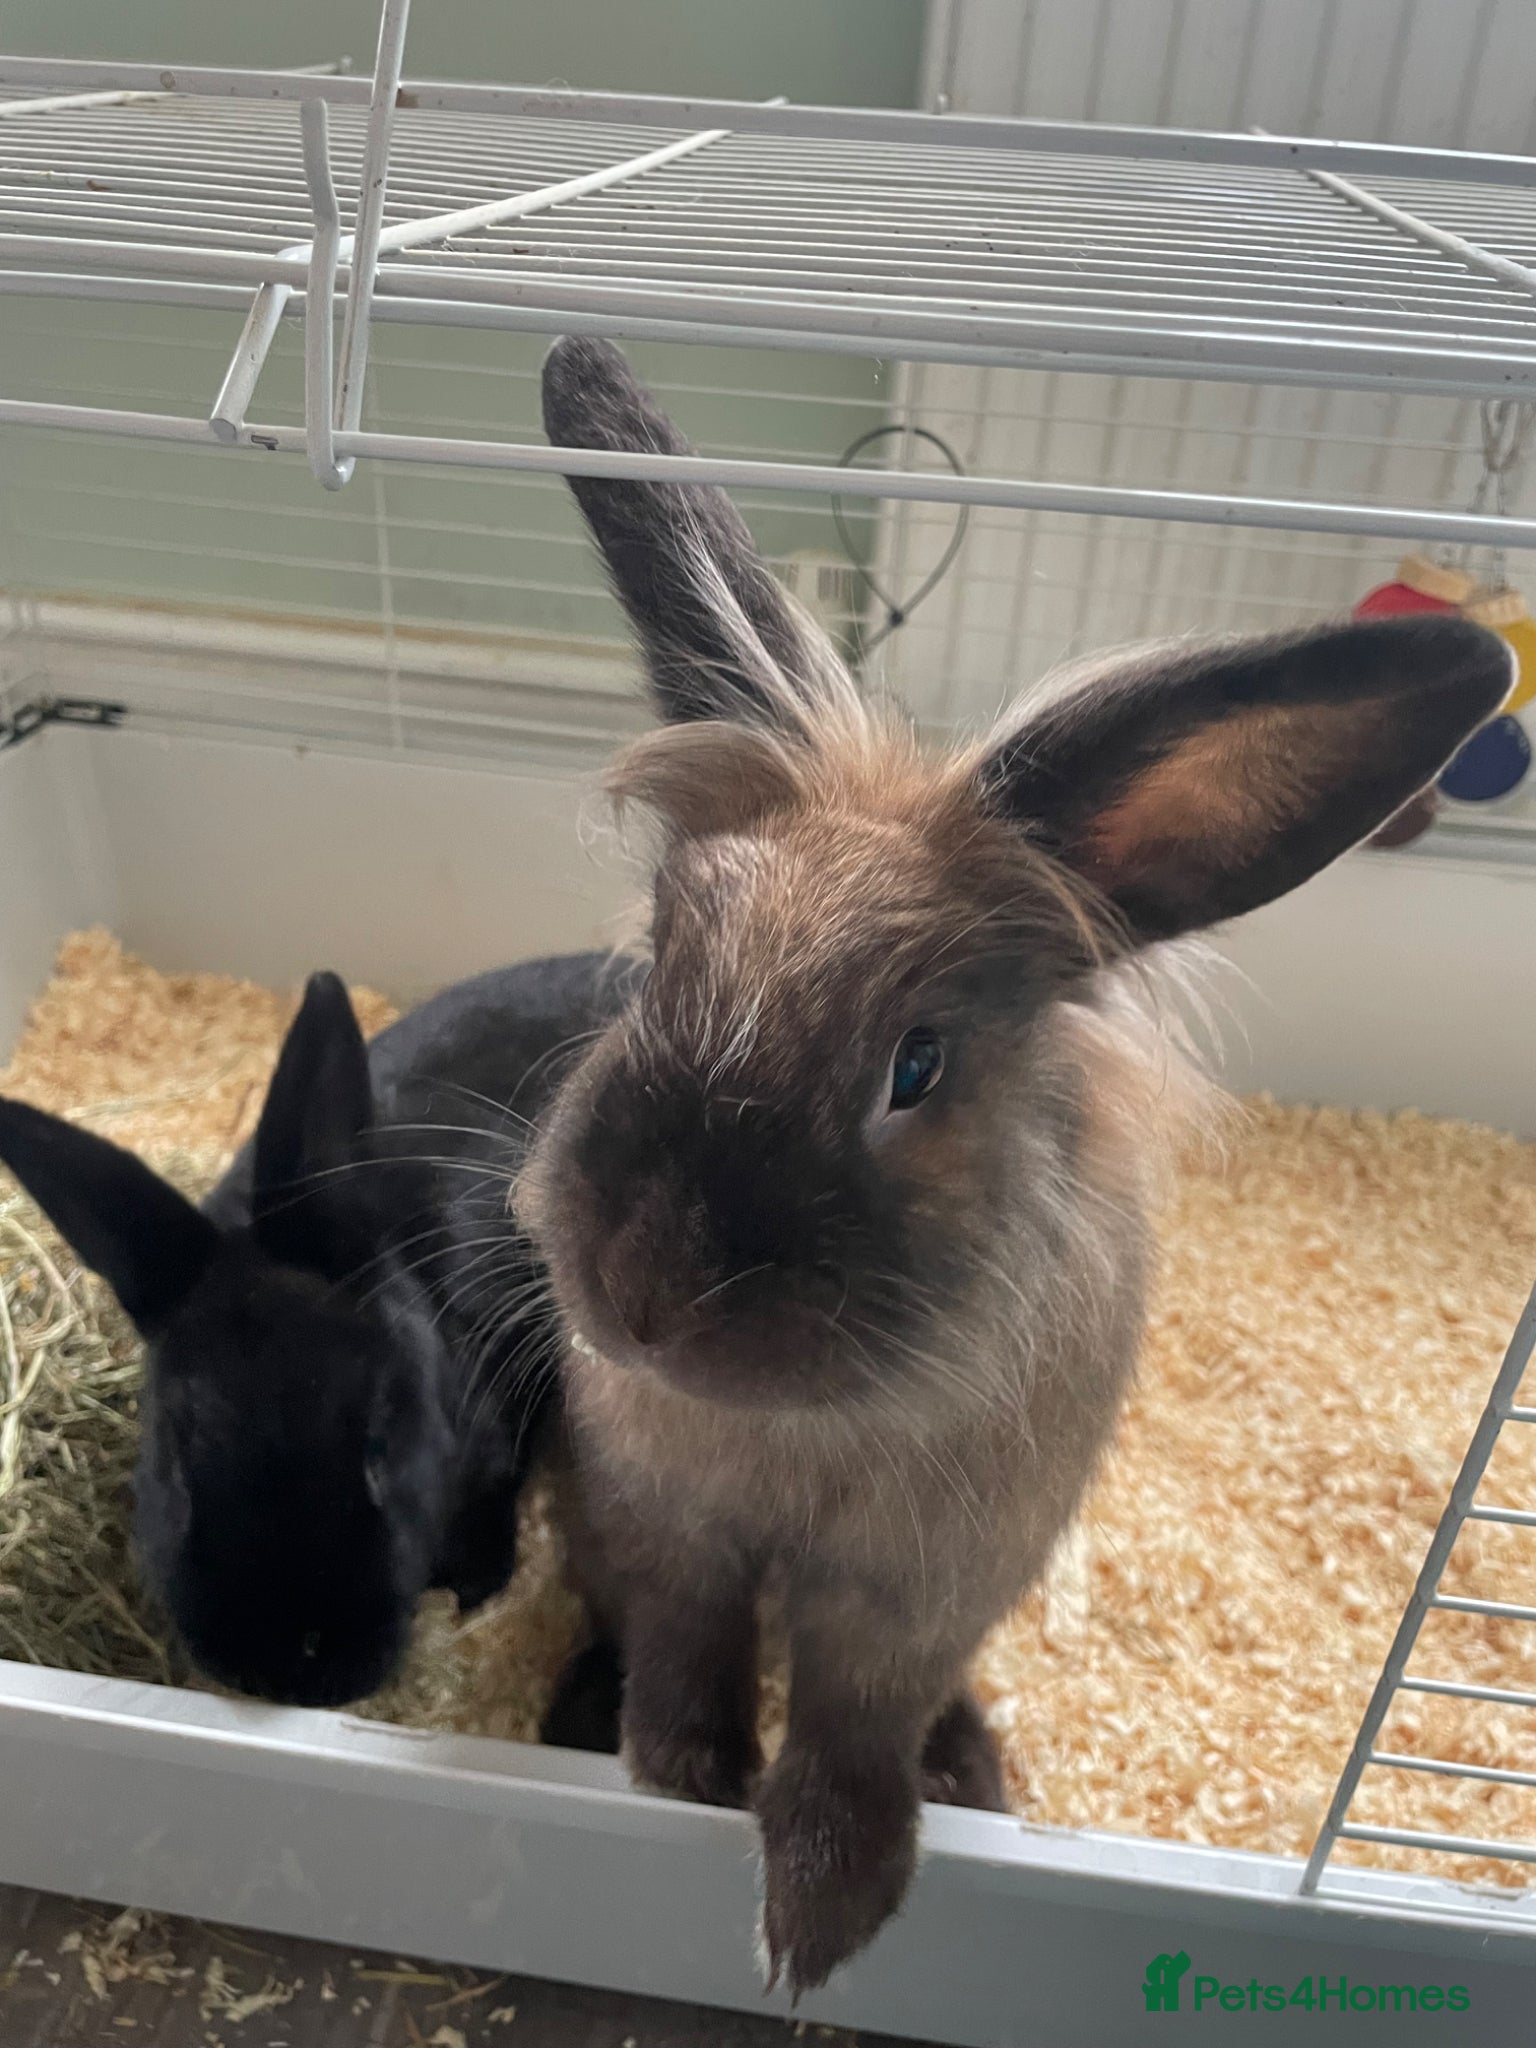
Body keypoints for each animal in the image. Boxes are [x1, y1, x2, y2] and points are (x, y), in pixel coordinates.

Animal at [514, 334, 1515, 1994]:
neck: (808, 1438)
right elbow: (688, 1648)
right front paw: (679, 1778)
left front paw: (820, 1917)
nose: (643, 1293)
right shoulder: (670, 1526)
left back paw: (974, 1774)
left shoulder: (921, 1591)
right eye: (660, 961)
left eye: (917, 1067)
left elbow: (857, 1721)